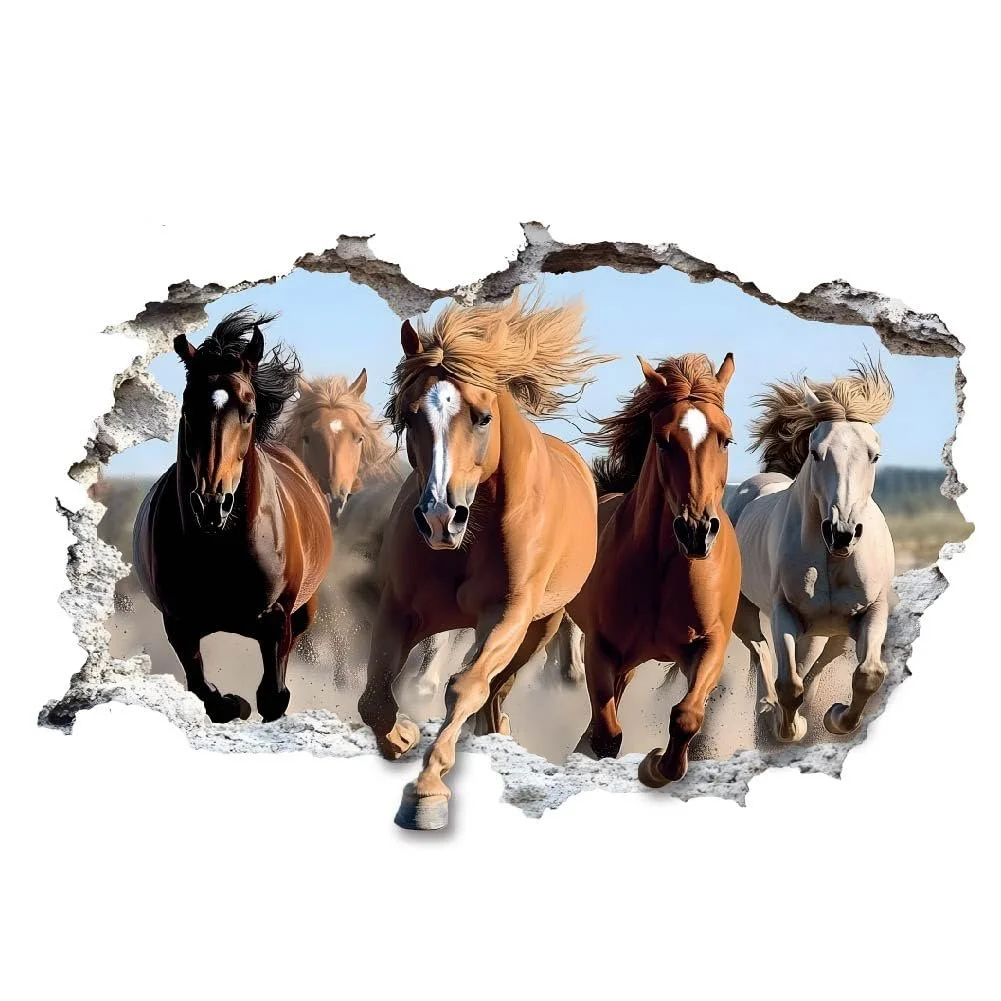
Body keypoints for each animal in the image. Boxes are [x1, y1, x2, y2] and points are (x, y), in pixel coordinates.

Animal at [133, 308, 334, 723]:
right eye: (187, 409)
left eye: (250, 412)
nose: (212, 503)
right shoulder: (179, 624)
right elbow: (203, 690)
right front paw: (233, 704)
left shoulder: (276, 620)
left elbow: (273, 695)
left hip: (305, 610)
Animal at [358, 290, 613, 829]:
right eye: (409, 416)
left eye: (482, 417)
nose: (439, 518)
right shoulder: (400, 609)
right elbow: (374, 697)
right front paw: (403, 736)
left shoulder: (507, 614)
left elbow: (466, 686)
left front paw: (427, 791)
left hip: (541, 626)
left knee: (498, 690)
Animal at [568, 352, 742, 786]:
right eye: (663, 440)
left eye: (726, 439)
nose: (696, 531)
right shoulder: (601, 646)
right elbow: (607, 734)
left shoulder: (710, 643)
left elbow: (686, 716)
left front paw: (659, 767)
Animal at [725, 359, 895, 743]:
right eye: (816, 453)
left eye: (874, 455)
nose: (842, 533)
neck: (833, 561)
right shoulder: (784, 612)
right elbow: (789, 683)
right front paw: (790, 728)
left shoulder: (872, 611)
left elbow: (868, 674)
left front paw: (836, 718)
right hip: (744, 610)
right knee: (761, 651)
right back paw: (767, 710)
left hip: (830, 631)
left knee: (815, 663)